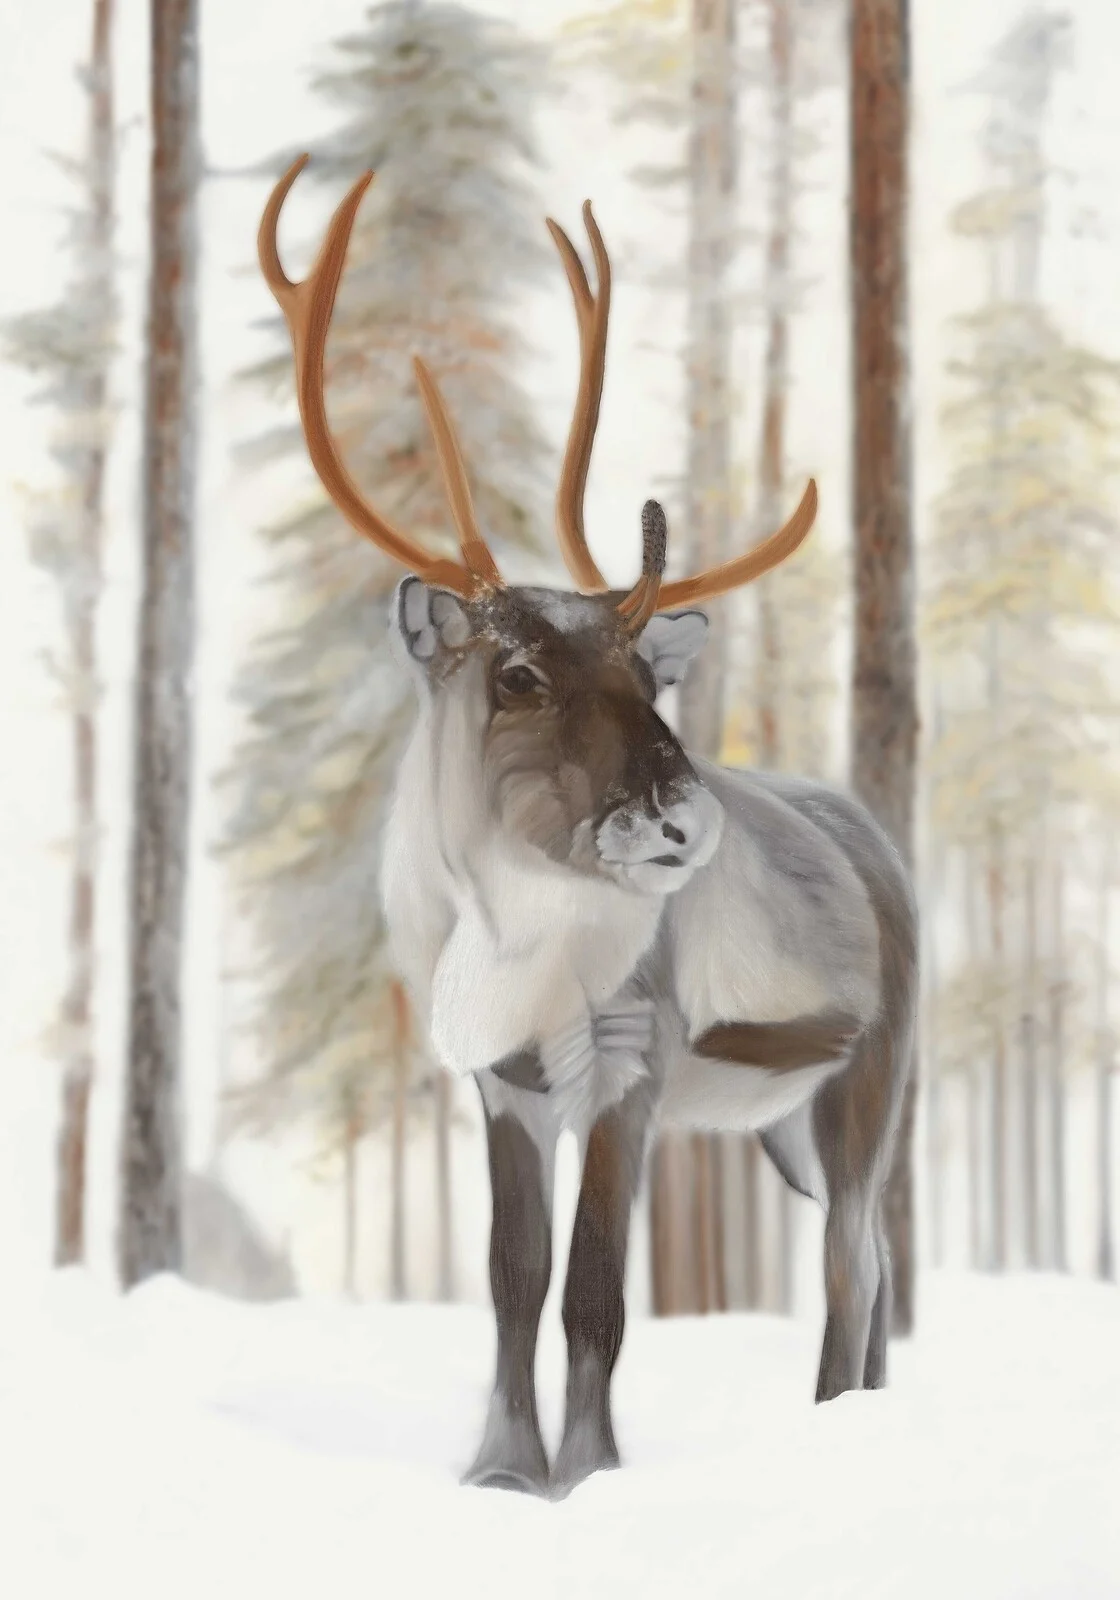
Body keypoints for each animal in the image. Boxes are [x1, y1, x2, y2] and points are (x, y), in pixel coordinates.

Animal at [259, 155, 918, 1501]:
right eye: (515, 674)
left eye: (647, 675)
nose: (680, 816)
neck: (502, 951)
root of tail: (878, 838)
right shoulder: (498, 1084)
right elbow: (513, 1280)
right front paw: (498, 1468)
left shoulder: (630, 1058)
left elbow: (597, 1293)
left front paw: (590, 1472)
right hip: (783, 1123)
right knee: (867, 1259)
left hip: (875, 1075)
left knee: (854, 1256)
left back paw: (836, 1421)